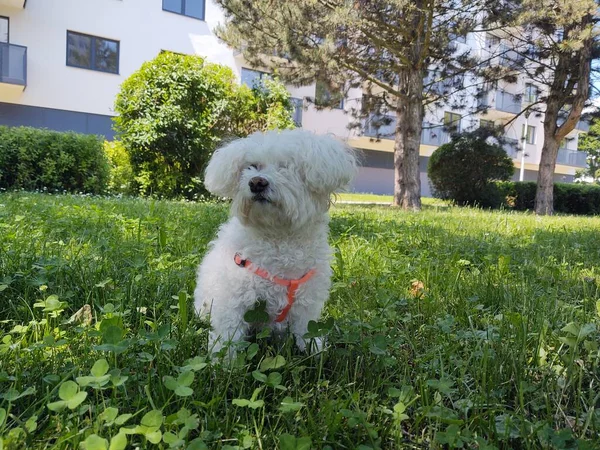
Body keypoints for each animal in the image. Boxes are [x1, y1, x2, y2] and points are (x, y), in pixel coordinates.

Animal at [196, 129, 356, 356]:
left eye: (285, 166)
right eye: (252, 166)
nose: (256, 183)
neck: (278, 238)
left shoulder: (307, 303)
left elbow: (306, 330)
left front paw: (314, 350)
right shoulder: (233, 300)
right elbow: (228, 335)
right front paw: (224, 361)